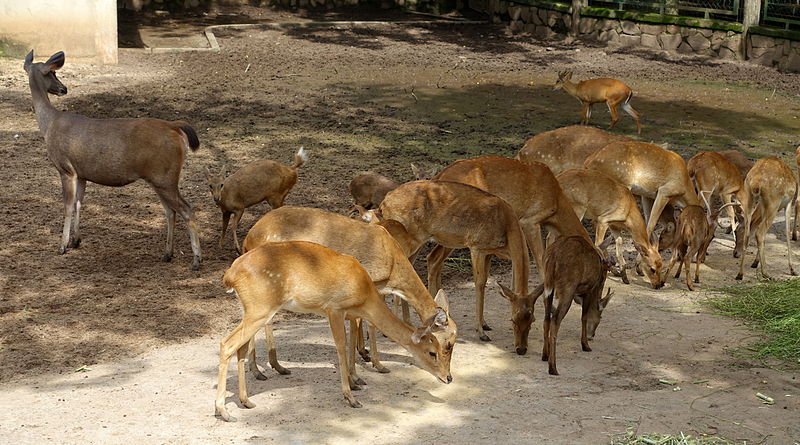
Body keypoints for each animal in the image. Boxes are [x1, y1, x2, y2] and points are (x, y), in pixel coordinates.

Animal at [24, 50, 203, 268]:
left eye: (54, 72)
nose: (63, 89)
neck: (49, 125)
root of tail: (174, 127)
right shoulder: (81, 173)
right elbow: (79, 203)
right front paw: (76, 240)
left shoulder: (65, 168)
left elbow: (67, 205)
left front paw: (62, 246)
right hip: (160, 178)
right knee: (170, 211)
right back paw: (167, 254)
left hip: (164, 177)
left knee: (186, 208)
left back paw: (196, 260)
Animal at [217, 239, 456, 420]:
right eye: (432, 352)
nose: (448, 378)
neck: (365, 294)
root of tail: (230, 275)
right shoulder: (333, 307)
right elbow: (341, 346)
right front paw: (351, 397)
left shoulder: (348, 312)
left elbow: (350, 341)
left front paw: (355, 383)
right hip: (260, 308)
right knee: (227, 343)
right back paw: (223, 411)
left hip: (249, 308)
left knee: (239, 348)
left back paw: (246, 401)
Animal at [241, 206, 456, 376]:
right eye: (448, 343)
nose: (449, 376)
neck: (394, 266)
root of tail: (248, 238)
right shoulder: (367, 285)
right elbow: (364, 323)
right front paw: (369, 366)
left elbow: (365, 322)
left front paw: (368, 362)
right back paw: (264, 369)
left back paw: (266, 368)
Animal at [376, 179, 536, 352]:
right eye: (513, 319)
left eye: (532, 319)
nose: (521, 349)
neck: (506, 226)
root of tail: (384, 202)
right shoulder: (476, 246)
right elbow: (480, 284)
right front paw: (481, 332)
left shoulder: (490, 252)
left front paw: (485, 324)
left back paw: (408, 322)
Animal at [536, 236, 616, 374]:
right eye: (600, 318)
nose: (592, 335)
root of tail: (552, 257)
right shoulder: (589, 289)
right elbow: (584, 316)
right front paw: (585, 345)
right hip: (567, 287)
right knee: (555, 319)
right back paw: (553, 367)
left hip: (548, 284)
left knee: (546, 318)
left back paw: (545, 355)